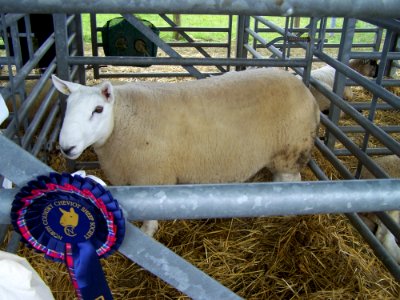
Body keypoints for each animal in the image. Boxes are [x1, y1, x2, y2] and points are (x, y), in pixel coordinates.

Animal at [52, 68, 318, 237]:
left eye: (98, 109)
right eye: (67, 106)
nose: (66, 147)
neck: (122, 120)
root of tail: (305, 89)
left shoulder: (152, 177)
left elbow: (150, 218)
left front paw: (148, 233)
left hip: (291, 149)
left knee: (291, 181)